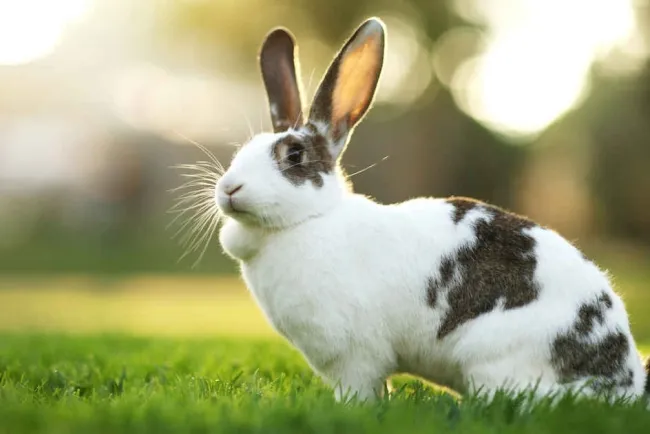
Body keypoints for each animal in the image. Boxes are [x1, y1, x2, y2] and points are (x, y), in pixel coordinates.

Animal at [214, 17, 650, 403]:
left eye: (294, 155)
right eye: (242, 150)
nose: (229, 188)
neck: (308, 221)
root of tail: (624, 378)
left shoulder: (354, 358)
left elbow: (359, 392)